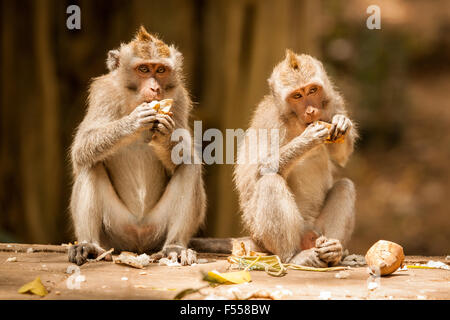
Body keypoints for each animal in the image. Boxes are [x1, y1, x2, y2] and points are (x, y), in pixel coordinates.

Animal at [234, 50, 356, 268]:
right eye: (297, 96)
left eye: (313, 90)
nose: (311, 111)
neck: (296, 121)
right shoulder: (270, 121)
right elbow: (259, 170)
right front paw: (307, 139)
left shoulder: (334, 103)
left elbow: (341, 156)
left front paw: (342, 123)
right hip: (262, 234)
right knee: (270, 182)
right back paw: (291, 256)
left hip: (316, 230)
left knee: (345, 187)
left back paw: (333, 250)